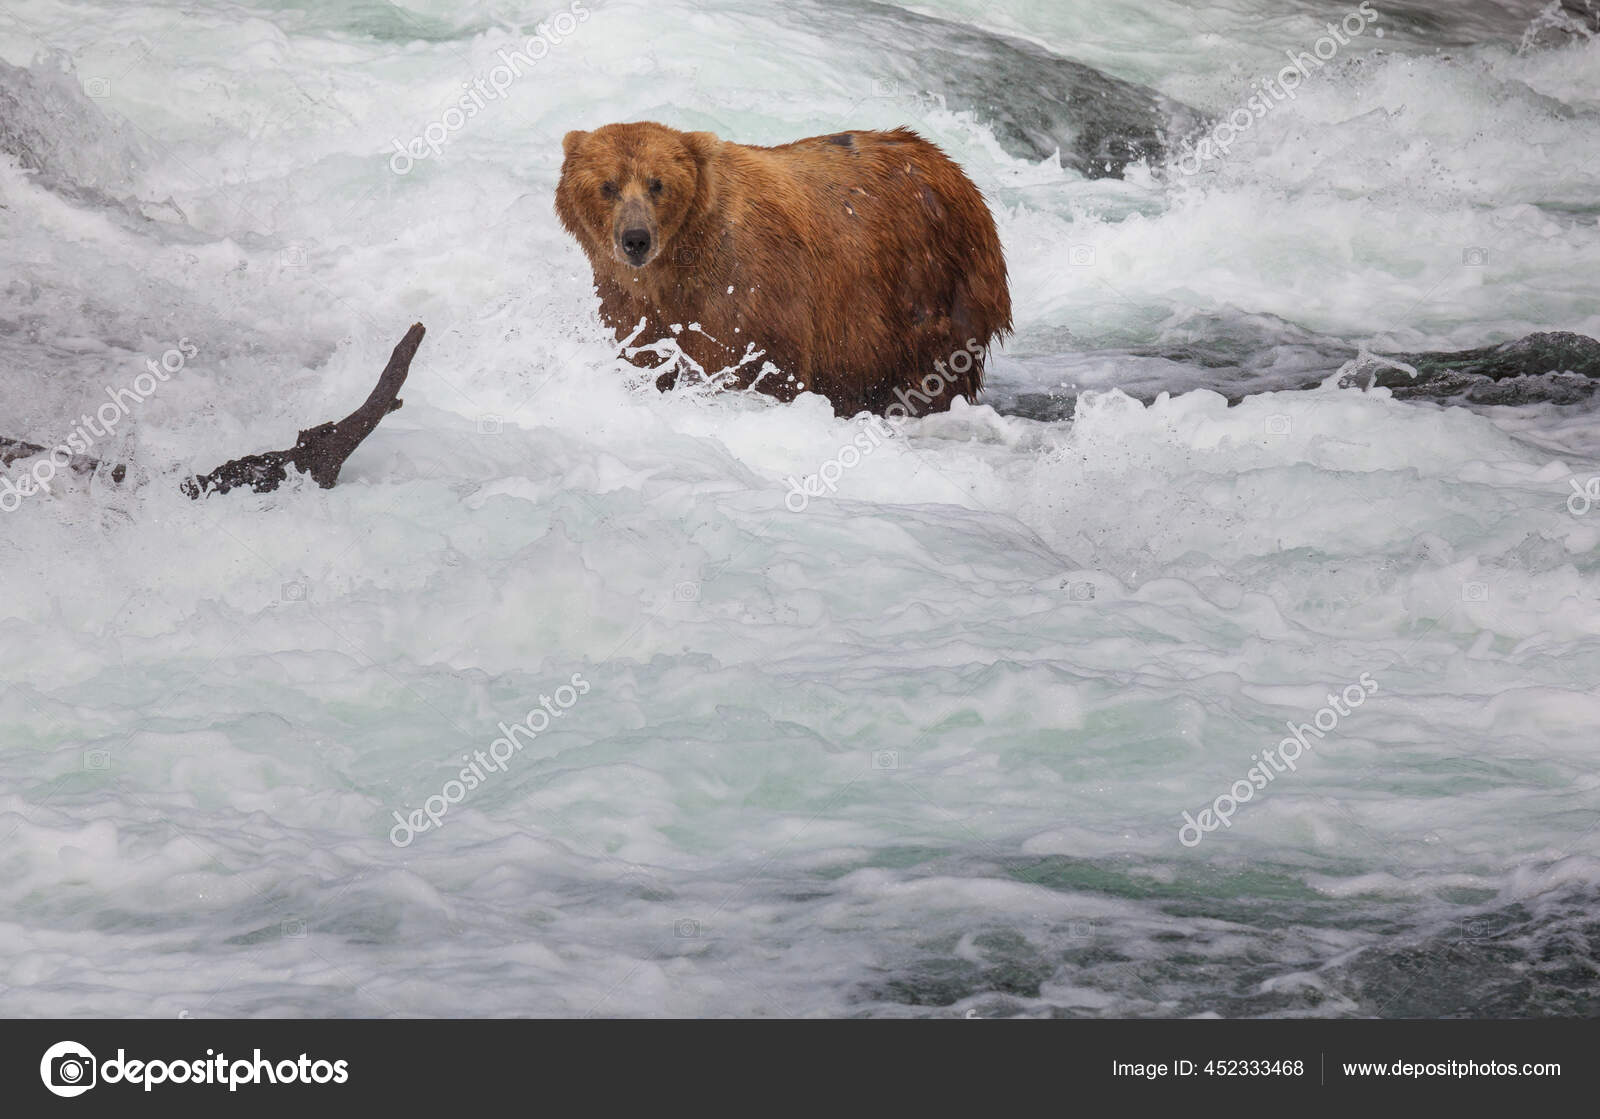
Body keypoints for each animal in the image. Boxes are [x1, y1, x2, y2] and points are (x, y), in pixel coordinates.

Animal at [555, 121, 1011, 417]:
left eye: (657, 183)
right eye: (608, 185)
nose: (635, 239)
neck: (678, 264)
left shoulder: (750, 291)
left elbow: (763, 368)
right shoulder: (631, 303)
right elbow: (644, 355)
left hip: (931, 287)